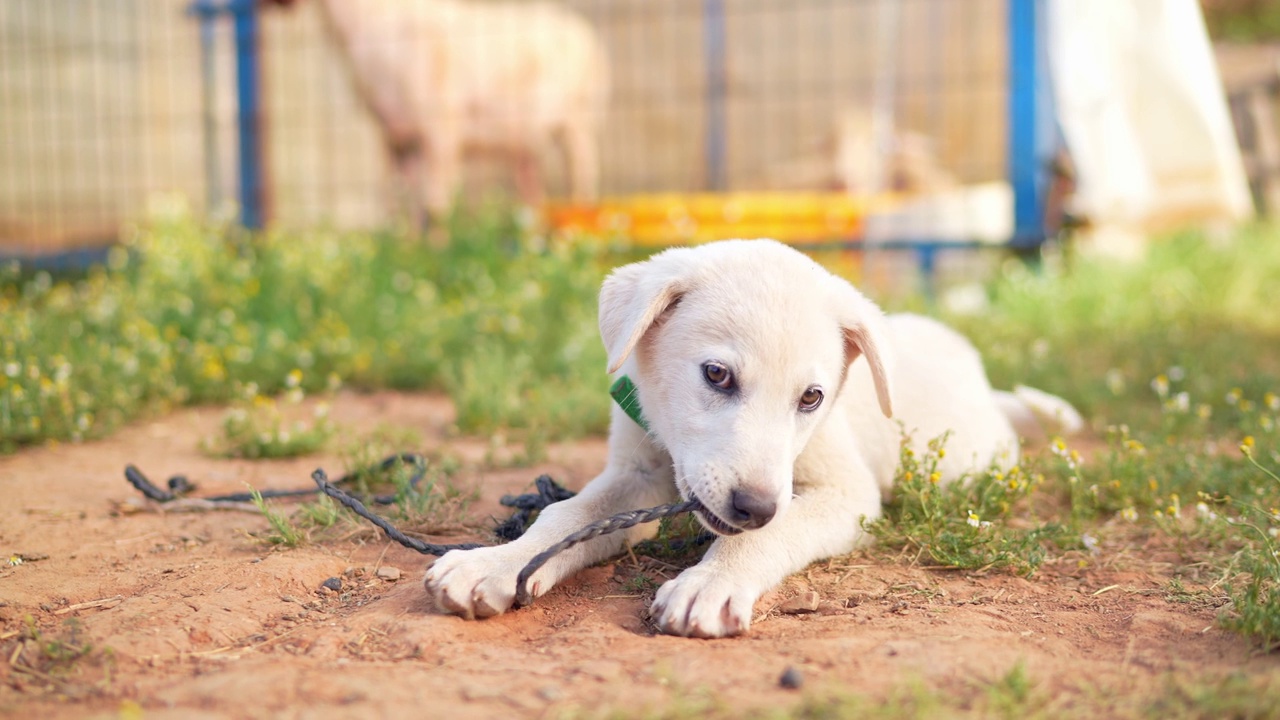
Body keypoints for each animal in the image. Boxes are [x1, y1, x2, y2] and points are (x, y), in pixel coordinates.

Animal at [422, 238, 1080, 635]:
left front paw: (710, 582)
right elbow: (565, 515)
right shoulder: (635, 477)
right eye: (717, 375)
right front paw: (497, 563)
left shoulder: (846, 494)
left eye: (812, 398)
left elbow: (773, 532)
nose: (754, 506)